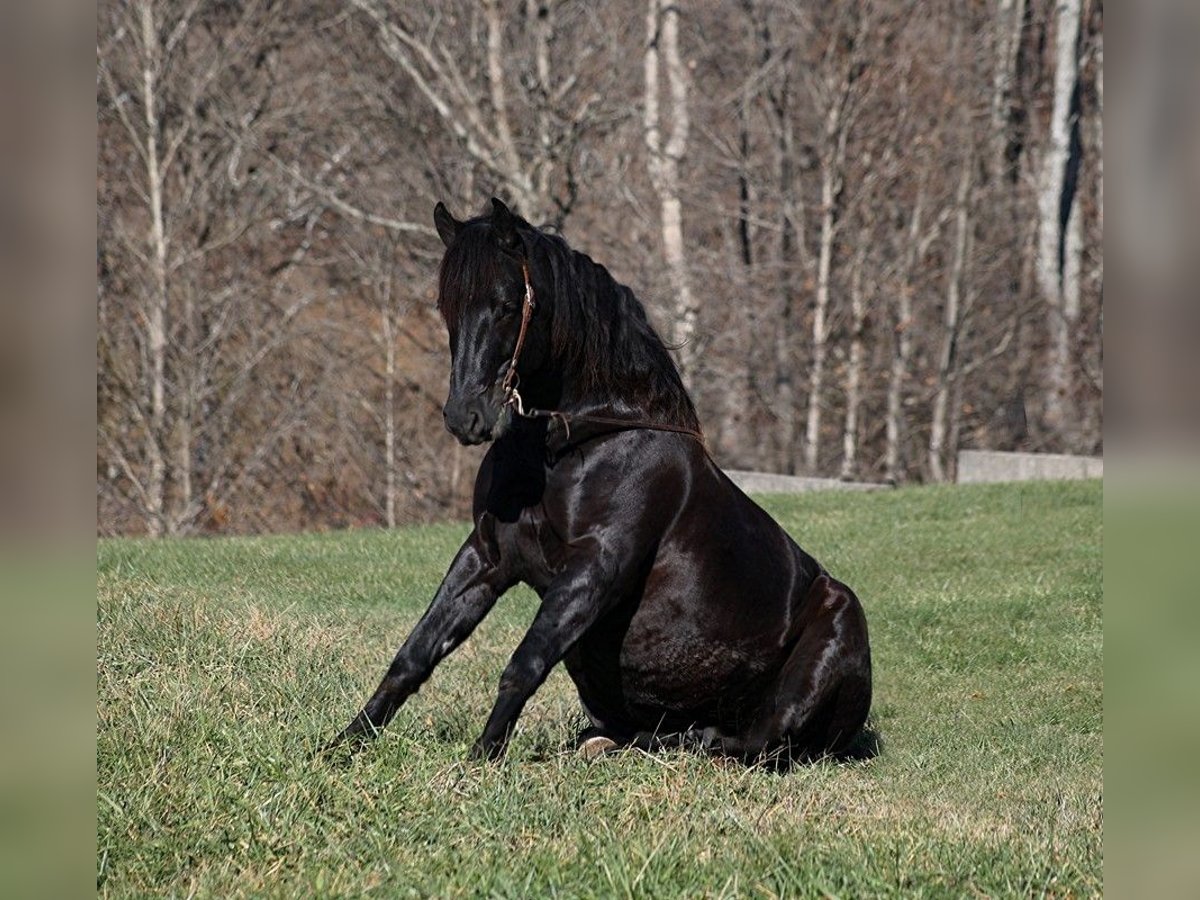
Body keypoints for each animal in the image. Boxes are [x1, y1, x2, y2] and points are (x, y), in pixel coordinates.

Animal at [328, 200, 873, 763]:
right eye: (447, 307)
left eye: (506, 305)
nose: (465, 417)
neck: (576, 444)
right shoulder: (486, 557)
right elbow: (414, 655)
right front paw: (342, 745)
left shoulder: (595, 567)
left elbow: (523, 666)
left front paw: (482, 758)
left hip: (826, 644)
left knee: (752, 743)